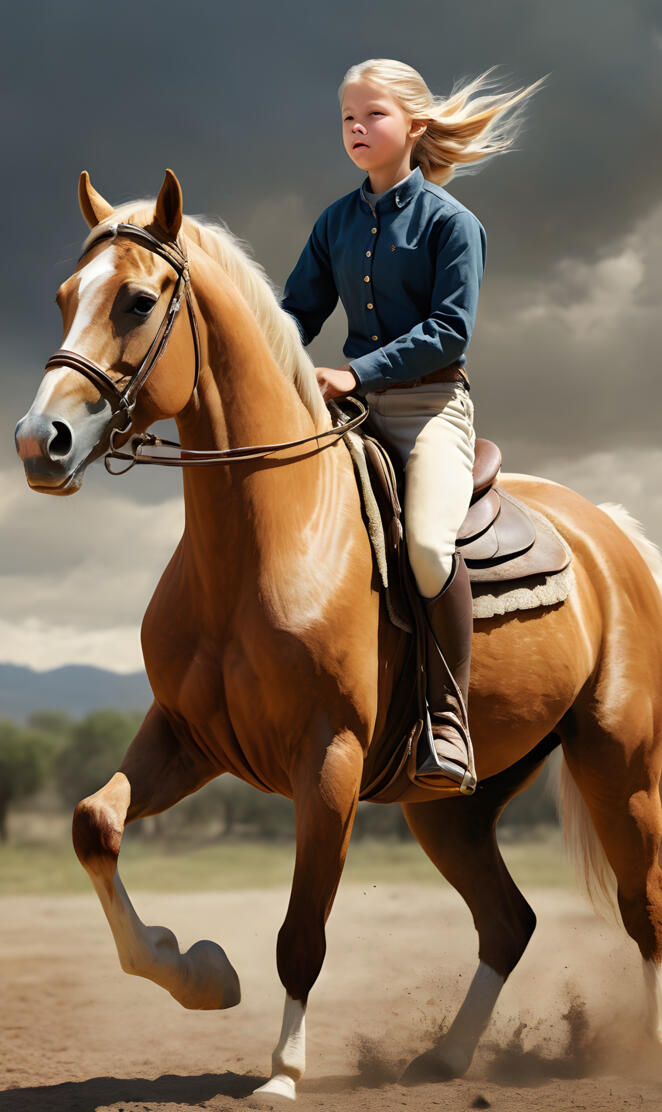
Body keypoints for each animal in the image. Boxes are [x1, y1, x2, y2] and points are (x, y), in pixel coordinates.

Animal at [15, 169, 662, 1101]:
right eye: (67, 296)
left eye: (137, 300)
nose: (41, 442)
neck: (268, 537)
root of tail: (611, 534)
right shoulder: (187, 737)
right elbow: (94, 823)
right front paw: (200, 971)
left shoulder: (330, 761)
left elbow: (302, 932)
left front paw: (282, 1072)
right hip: (453, 810)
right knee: (510, 921)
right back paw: (445, 1059)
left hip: (619, 760)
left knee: (643, 907)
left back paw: (645, 1046)